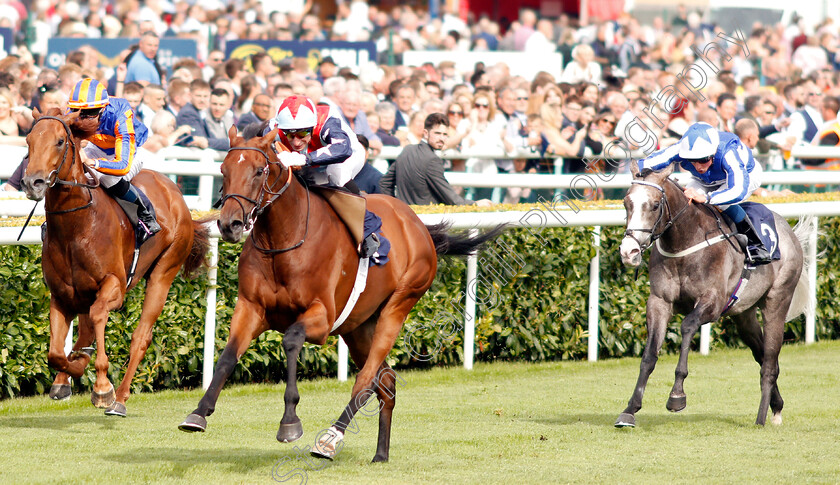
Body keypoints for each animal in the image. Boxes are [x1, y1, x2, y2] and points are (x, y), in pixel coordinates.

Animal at [21, 109, 212, 416]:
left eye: (60, 141)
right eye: (28, 140)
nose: (32, 183)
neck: (77, 227)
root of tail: (175, 191)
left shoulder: (114, 286)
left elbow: (99, 316)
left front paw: (102, 387)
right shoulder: (62, 295)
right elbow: (55, 353)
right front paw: (69, 375)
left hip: (164, 270)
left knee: (141, 336)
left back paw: (120, 397)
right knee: (85, 334)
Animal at [176, 125, 502, 462]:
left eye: (258, 171)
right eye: (223, 170)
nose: (229, 224)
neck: (284, 240)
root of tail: (417, 223)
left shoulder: (322, 317)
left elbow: (291, 339)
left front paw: (290, 422)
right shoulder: (251, 307)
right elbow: (228, 355)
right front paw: (198, 413)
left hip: (398, 305)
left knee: (367, 379)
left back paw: (330, 438)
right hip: (358, 327)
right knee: (385, 381)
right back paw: (380, 454)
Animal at [616, 160, 812, 428]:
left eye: (655, 205)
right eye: (626, 202)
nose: (629, 252)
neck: (684, 242)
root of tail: (789, 231)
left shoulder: (712, 303)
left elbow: (687, 326)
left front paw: (677, 395)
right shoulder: (659, 302)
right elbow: (649, 356)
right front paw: (630, 410)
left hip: (777, 301)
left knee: (770, 364)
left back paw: (761, 418)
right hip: (744, 315)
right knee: (762, 355)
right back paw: (777, 406)